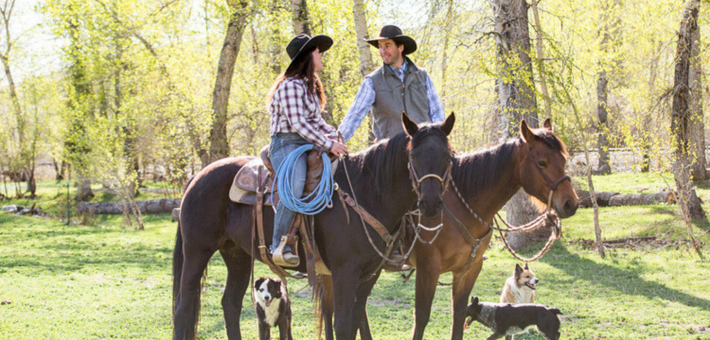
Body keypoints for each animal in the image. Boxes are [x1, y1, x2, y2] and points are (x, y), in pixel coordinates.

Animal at [175, 113, 458, 340]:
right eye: (413, 155)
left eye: (448, 156)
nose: (431, 203)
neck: (367, 192)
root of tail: (197, 176)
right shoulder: (345, 272)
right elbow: (342, 325)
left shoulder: (369, 275)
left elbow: (354, 323)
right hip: (197, 251)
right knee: (182, 307)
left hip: (237, 255)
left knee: (230, 304)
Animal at [320, 117, 580, 340]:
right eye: (542, 162)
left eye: (564, 160)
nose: (570, 203)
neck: (464, 205)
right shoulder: (428, 269)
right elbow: (422, 318)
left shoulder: (469, 269)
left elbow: (458, 316)